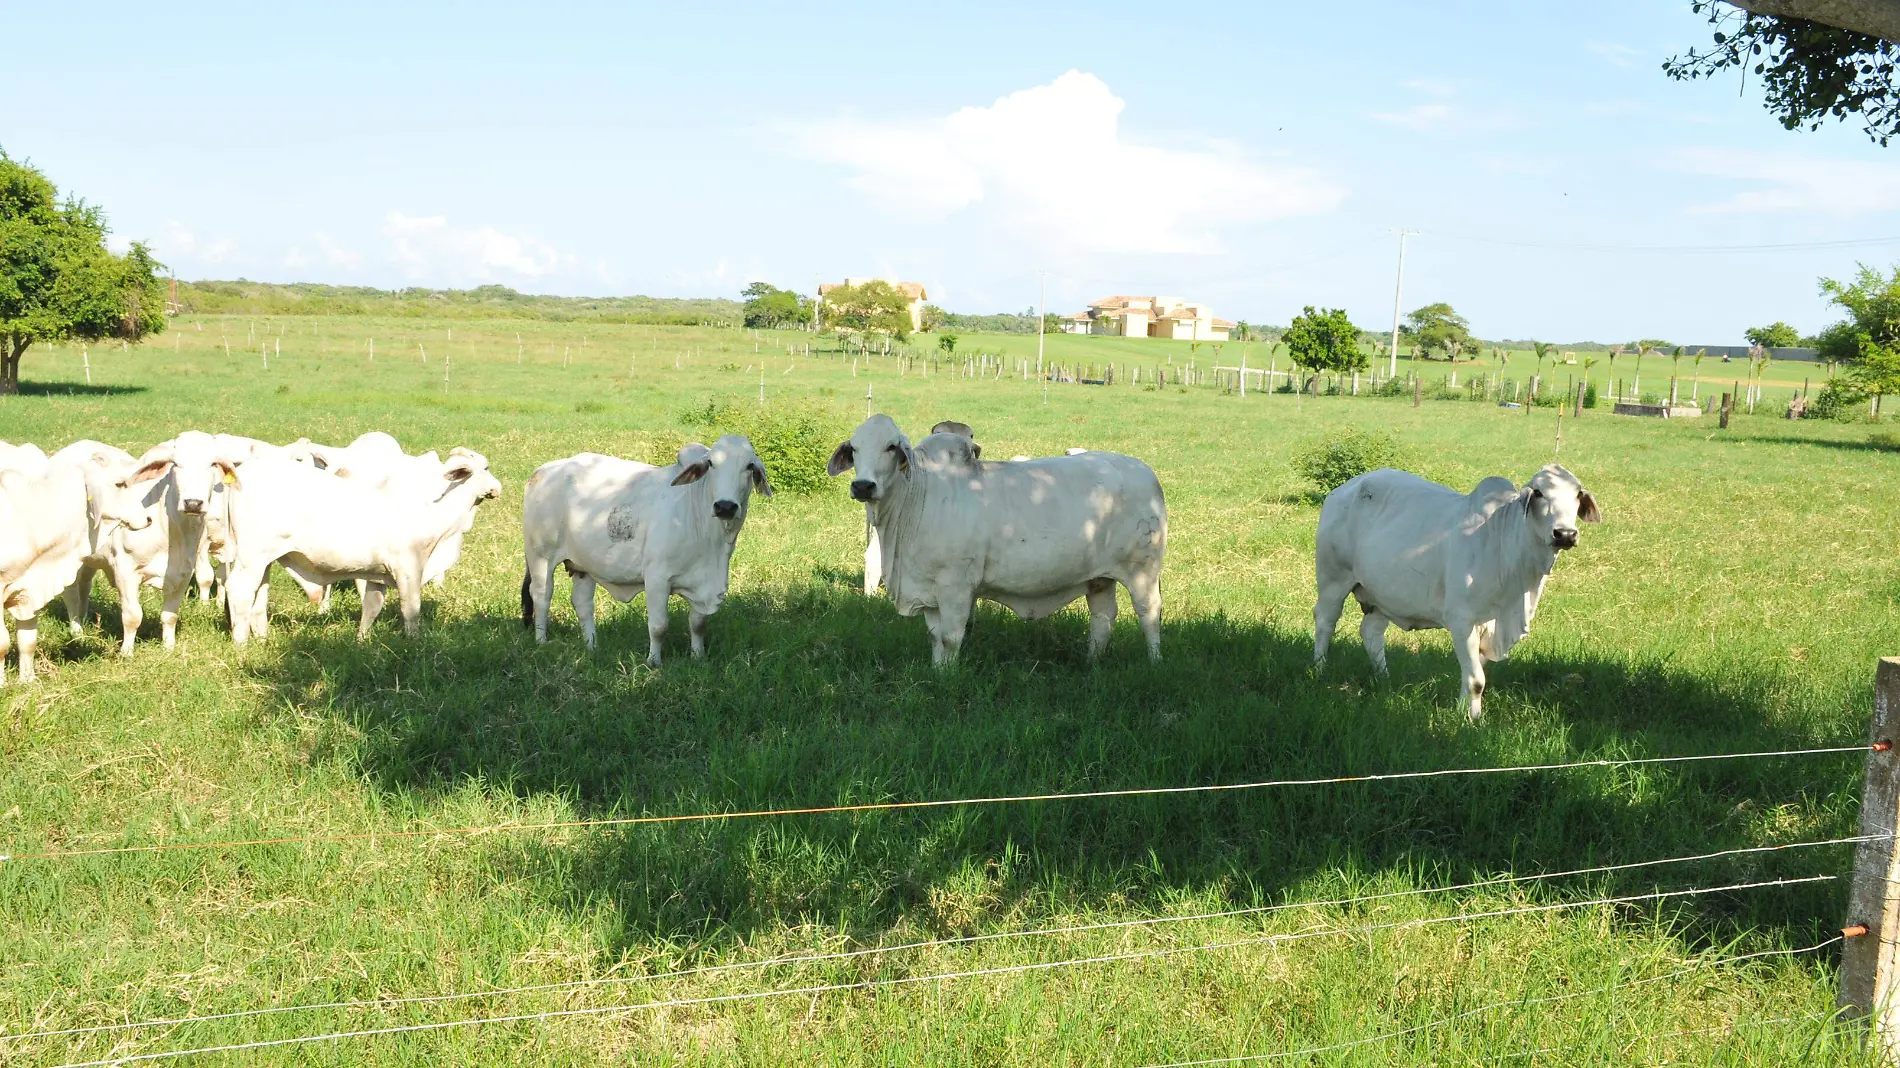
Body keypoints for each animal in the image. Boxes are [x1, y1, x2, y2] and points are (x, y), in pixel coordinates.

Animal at [221, 442, 501, 638]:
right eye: (486, 467)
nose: (498, 487)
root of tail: (240, 475)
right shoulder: (409, 570)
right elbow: (411, 610)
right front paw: (415, 641)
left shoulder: (378, 575)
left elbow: (371, 608)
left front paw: (361, 641)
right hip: (251, 557)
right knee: (239, 591)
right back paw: (241, 643)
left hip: (265, 560)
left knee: (258, 597)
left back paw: (262, 639)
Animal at [520, 437, 771, 661]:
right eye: (711, 464)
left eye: (749, 466)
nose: (725, 506)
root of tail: (542, 471)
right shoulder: (657, 579)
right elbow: (659, 627)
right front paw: (654, 662)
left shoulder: (703, 585)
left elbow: (698, 625)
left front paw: (698, 657)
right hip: (540, 556)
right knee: (541, 595)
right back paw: (541, 641)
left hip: (583, 566)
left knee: (582, 603)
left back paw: (592, 646)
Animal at [836, 412, 1170, 661]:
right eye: (854, 448)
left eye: (891, 447)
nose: (863, 486)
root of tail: (1147, 472)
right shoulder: (928, 589)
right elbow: (934, 638)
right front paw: (938, 671)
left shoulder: (956, 586)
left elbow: (951, 637)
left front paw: (948, 678)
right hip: (1100, 578)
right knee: (1102, 618)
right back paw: (1092, 663)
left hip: (1143, 571)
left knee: (1149, 613)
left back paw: (1154, 662)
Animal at [1322, 461, 1603, 718]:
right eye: (1539, 492)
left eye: (1578, 493)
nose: (1565, 534)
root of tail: (1345, 488)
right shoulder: (1462, 621)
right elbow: (1477, 681)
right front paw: (1473, 721)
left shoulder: (1488, 626)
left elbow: (1470, 675)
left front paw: (1461, 710)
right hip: (1333, 580)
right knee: (1325, 622)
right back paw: (1320, 669)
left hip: (1383, 596)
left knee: (1371, 632)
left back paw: (1384, 678)